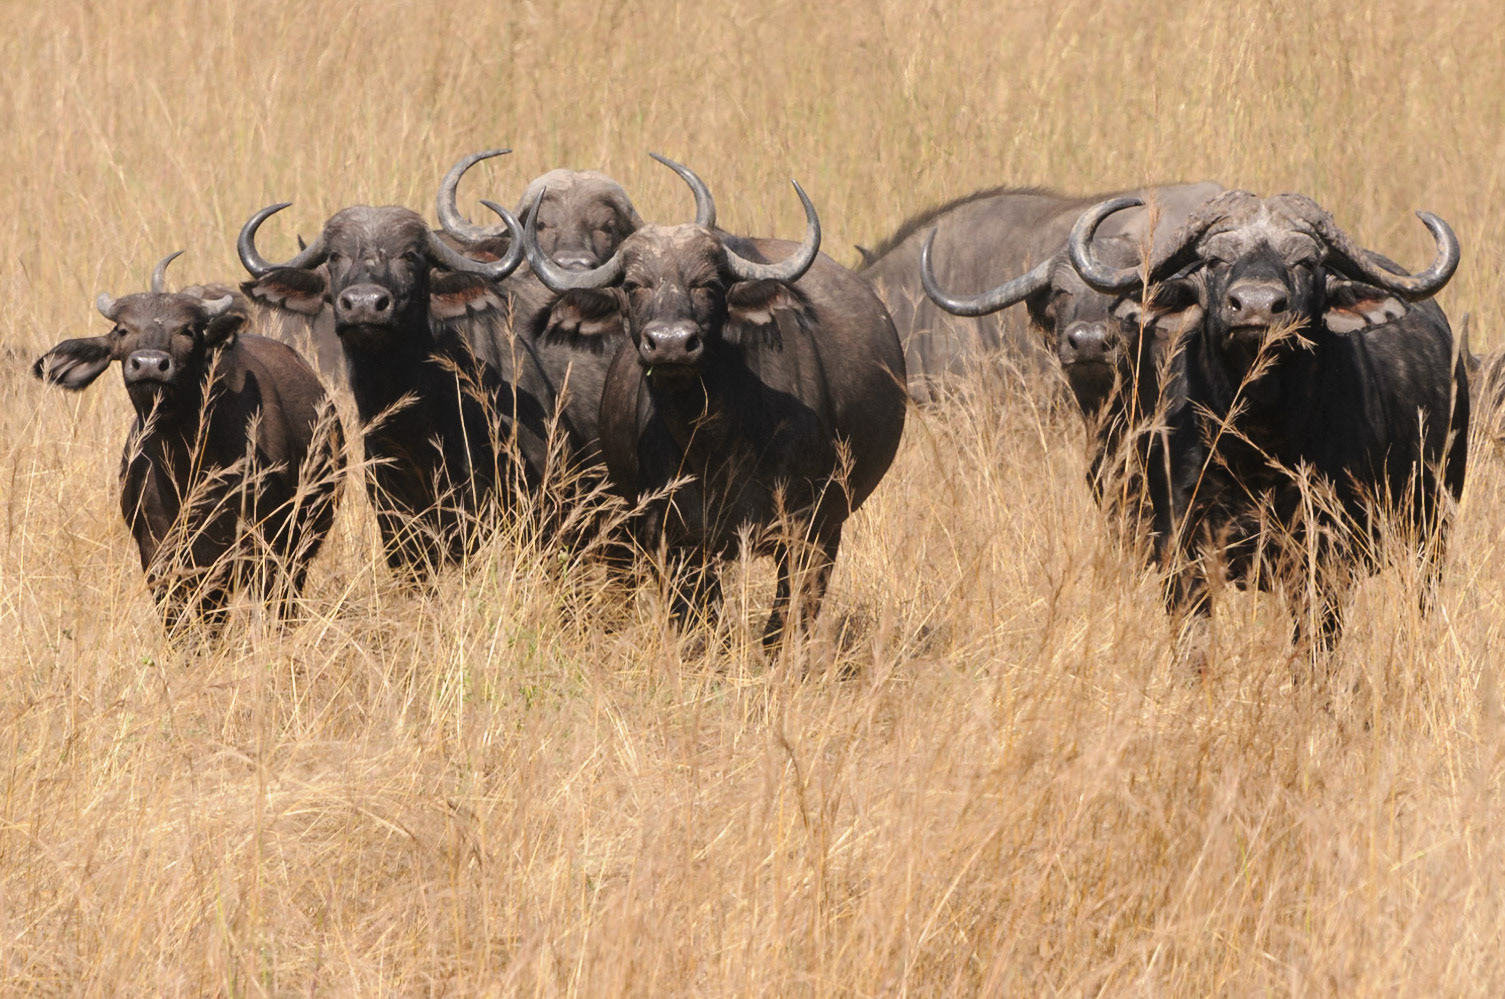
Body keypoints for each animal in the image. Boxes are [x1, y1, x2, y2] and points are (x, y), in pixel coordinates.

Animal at [33, 252, 345, 630]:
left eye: (187, 330)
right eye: (122, 329)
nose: (149, 364)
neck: (186, 469)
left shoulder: (261, 547)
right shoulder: (159, 557)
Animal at [522, 158, 907, 647]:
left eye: (708, 283)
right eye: (634, 285)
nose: (670, 343)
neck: (714, 440)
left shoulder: (810, 531)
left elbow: (784, 625)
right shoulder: (674, 541)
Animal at [1069, 190, 1468, 659]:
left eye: (1307, 262)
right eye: (1215, 259)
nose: (1256, 306)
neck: (1254, 440)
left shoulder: (1322, 561)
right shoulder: (1181, 555)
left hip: (1432, 534)